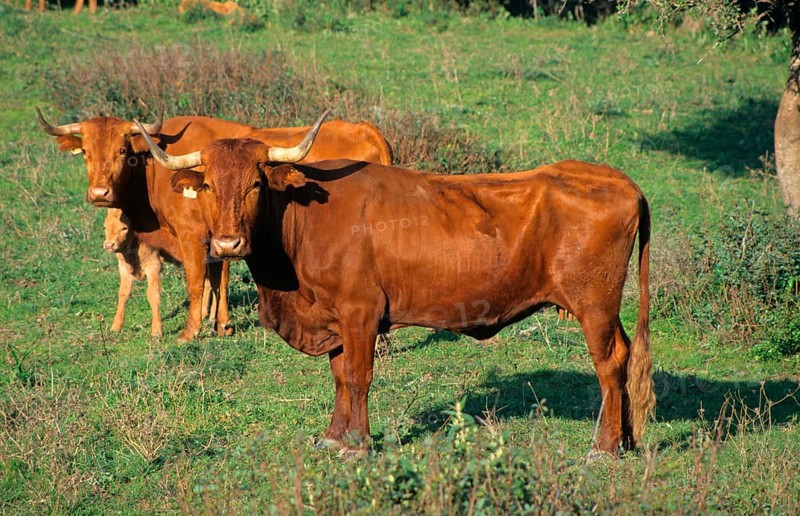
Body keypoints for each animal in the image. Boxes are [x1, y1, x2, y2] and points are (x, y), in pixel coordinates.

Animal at [36, 109, 393, 341]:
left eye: (123, 150)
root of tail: (363, 128)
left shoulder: (192, 237)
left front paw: (190, 331)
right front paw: (222, 325)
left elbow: (197, 283)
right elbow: (219, 279)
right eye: (85, 151)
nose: (100, 193)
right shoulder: (218, 239)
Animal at [136, 115, 656, 460]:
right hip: (606, 309)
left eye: (256, 186)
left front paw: (358, 444)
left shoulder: (360, 313)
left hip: (594, 305)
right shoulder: (333, 319)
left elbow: (358, 377)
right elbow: (339, 377)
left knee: (609, 364)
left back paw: (605, 446)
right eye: (207, 186)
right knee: (626, 356)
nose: (228, 242)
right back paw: (627, 439)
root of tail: (619, 180)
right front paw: (334, 436)